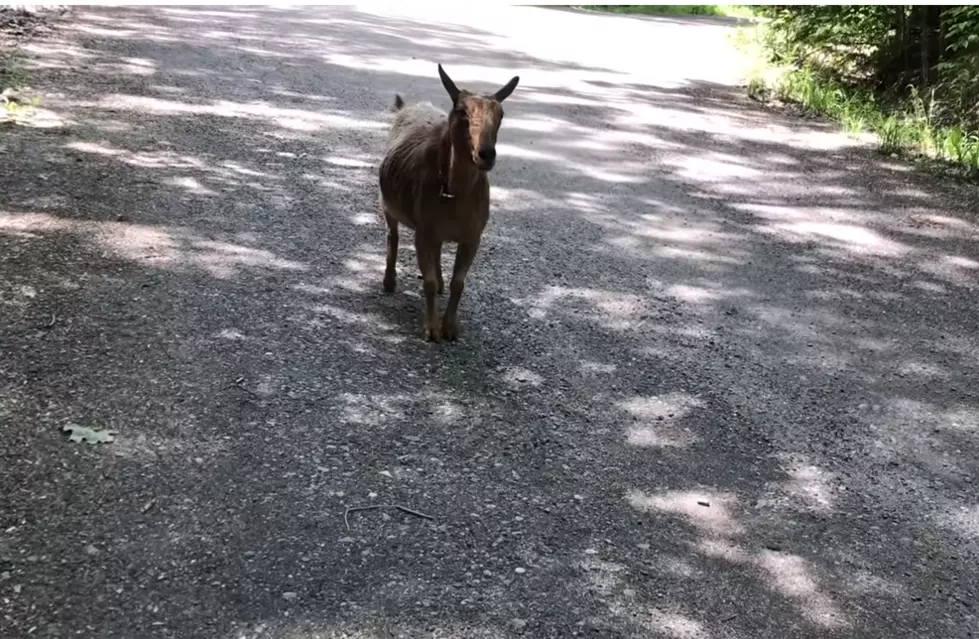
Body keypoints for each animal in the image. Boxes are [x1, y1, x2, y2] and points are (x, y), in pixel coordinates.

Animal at [378, 63, 520, 344]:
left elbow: (459, 283)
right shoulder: (423, 231)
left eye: (501, 114)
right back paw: (389, 282)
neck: (456, 195)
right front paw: (431, 329)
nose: (486, 154)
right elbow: (428, 281)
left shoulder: (472, 236)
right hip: (387, 203)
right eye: (461, 111)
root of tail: (406, 106)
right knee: (393, 235)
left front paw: (451, 327)